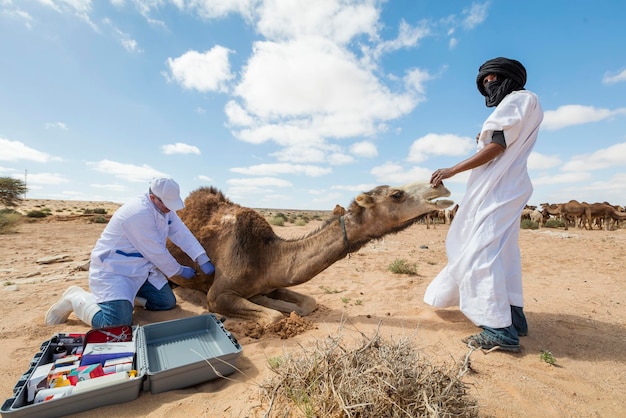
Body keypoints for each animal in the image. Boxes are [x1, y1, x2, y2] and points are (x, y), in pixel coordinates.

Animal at [166, 181, 450, 328]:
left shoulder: (272, 281)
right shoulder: (218, 294)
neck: (264, 255)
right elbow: (272, 318)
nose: (441, 186)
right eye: (396, 194)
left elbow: (308, 303)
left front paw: (274, 303)